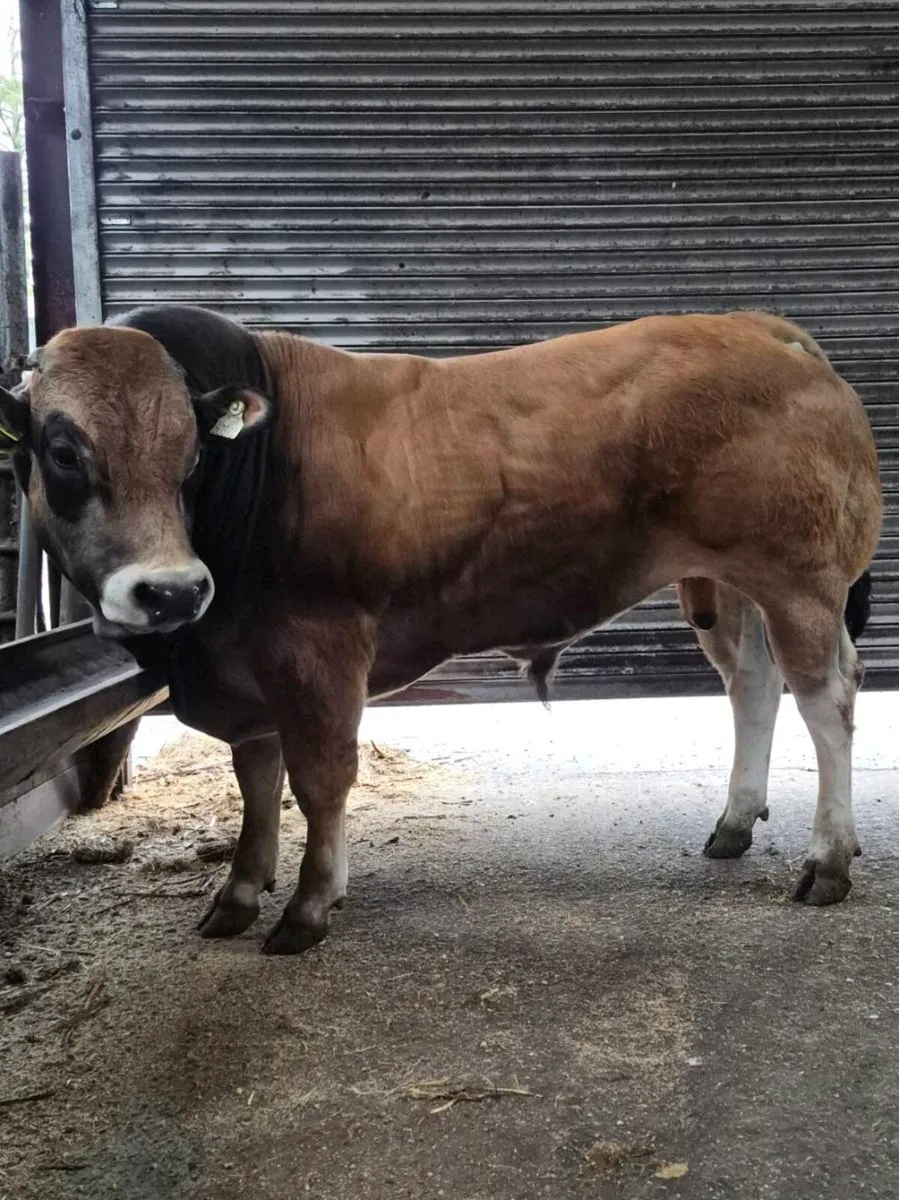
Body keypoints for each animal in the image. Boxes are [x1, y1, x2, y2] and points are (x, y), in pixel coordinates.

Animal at [0, 306, 881, 953]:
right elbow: (255, 781)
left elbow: (319, 781)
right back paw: (733, 823)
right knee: (751, 686)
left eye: (188, 454)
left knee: (826, 700)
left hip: (799, 581)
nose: (171, 591)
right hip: (731, 584)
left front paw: (309, 906)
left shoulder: (317, 652)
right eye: (61, 449)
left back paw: (827, 861)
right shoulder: (243, 668)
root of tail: (760, 326)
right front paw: (239, 892)